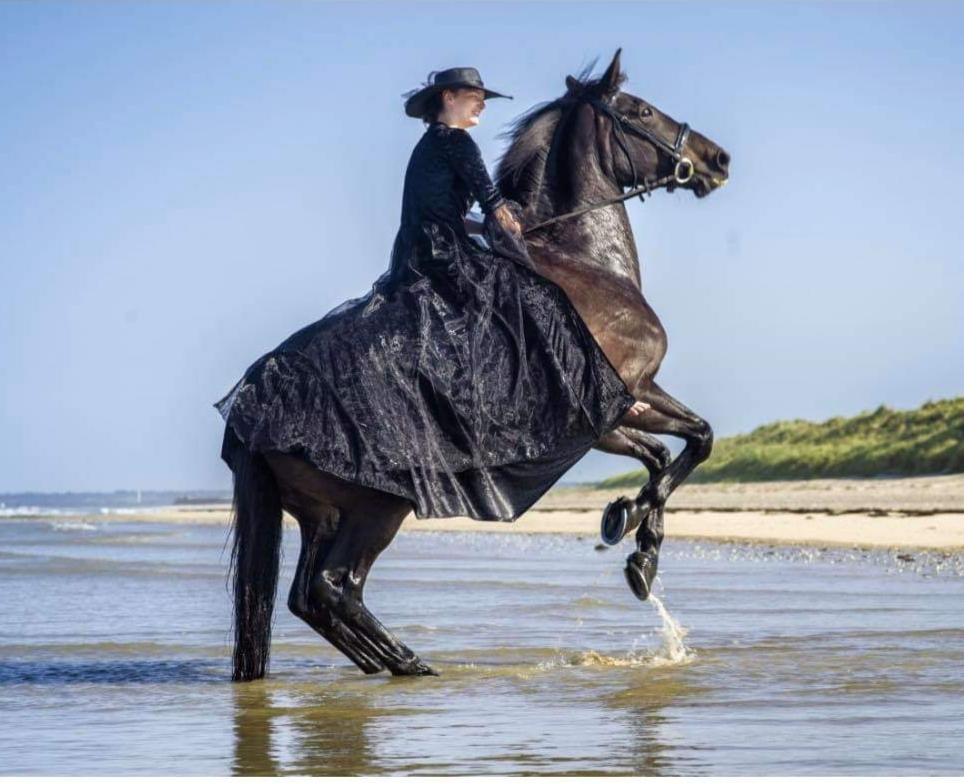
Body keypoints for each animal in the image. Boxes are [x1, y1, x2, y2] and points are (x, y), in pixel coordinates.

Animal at [228, 50, 732, 688]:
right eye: (641, 111)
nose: (717, 160)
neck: (582, 262)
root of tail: (246, 410)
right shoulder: (627, 395)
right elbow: (699, 440)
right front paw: (635, 535)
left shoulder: (608, 417)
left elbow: (666, 453)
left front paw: (632, 539)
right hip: (376, 508)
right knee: (335, 588)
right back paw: (412, 664)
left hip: (321, 513)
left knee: (306, 597)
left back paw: (393, 663)